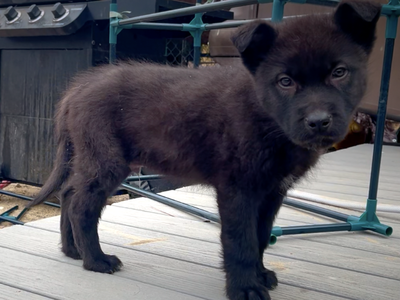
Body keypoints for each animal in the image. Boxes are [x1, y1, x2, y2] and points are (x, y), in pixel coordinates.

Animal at [26, 1, 382, 298]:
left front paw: (260, 274)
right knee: (81, 205)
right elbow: (240, 240)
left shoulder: (271, 191)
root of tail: (78, 87)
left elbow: (260, 236)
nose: (318, 122)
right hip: (107, 160)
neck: (266, 117)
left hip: (91, 157)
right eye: (285, 81)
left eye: (339, 72)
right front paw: (245, 289)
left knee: (69, 194)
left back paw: (72, 251)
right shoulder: (238, 188)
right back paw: (96, 260)